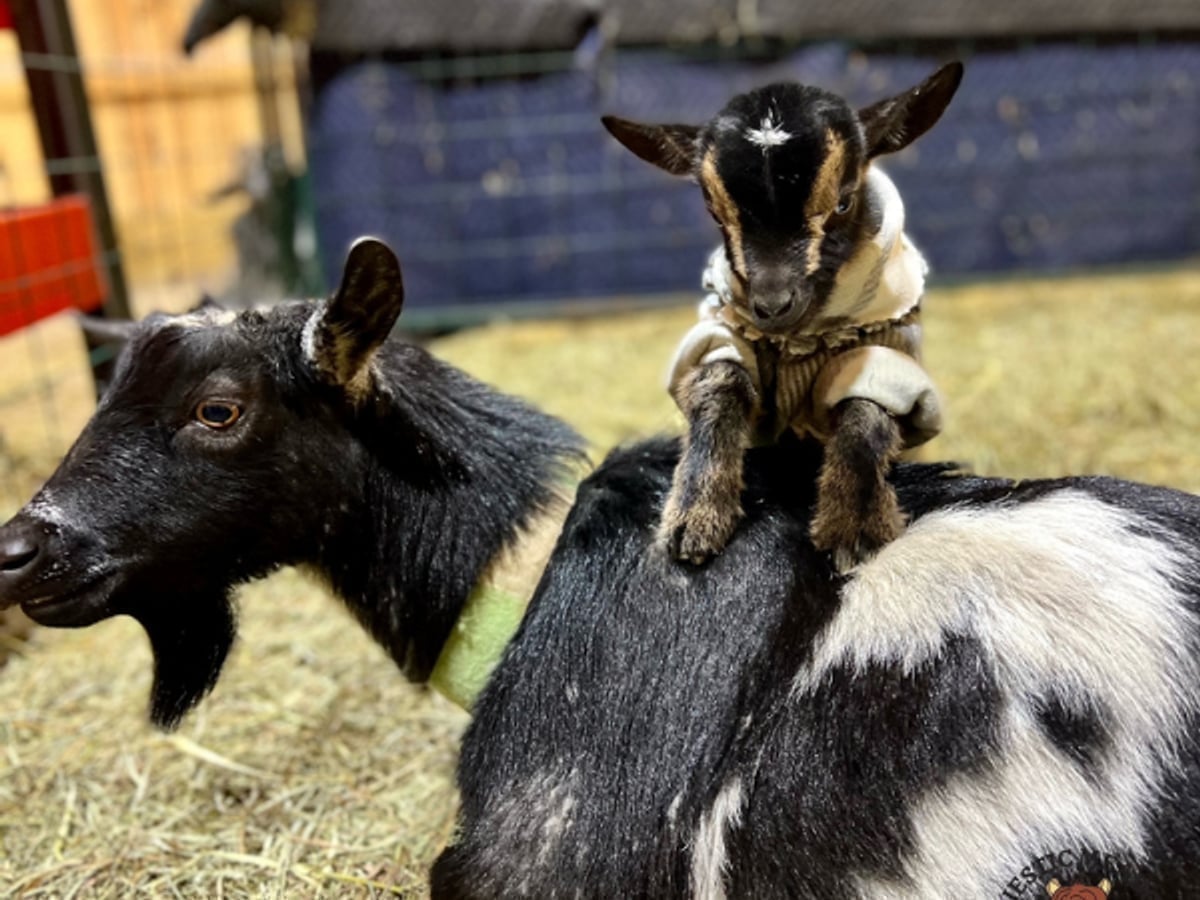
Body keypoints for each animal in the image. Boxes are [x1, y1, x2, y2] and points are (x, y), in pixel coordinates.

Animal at [603, 63, 962, 569]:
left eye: (843, 201)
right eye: (715, 212)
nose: (773, 305)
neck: (801, 336)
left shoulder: (886, 350)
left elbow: (868, 409)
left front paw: (855, 525)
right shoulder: (724, 336)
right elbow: (719, 383)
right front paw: (695, 511)